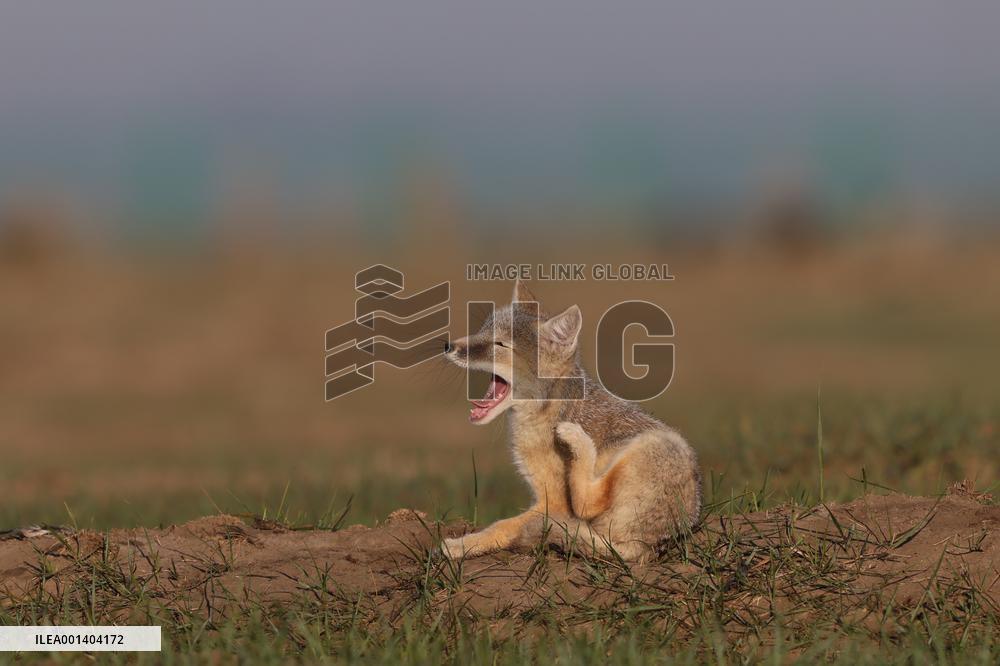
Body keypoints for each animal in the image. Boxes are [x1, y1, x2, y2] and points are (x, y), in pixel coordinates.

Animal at [441, 280, 701, 561]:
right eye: (481, 331)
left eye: (499, 344)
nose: (448, 346)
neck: (547, 411)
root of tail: (648, 546)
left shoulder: (553, 504)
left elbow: (502, 525)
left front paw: (461, 545)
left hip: (660, 442)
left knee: (588, 503)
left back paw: (577, 441)